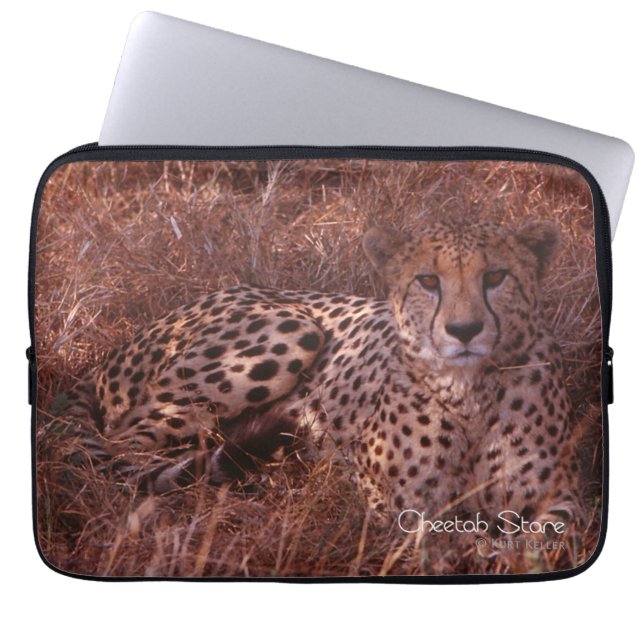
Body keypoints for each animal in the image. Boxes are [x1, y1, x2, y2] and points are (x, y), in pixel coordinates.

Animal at [60, 218, 581, 526]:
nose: (465, 330)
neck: (469, 393)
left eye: (495, 277)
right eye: (428, 281)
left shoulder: (562, 499)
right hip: (292, 330)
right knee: (125, 448)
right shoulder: (397, 504)